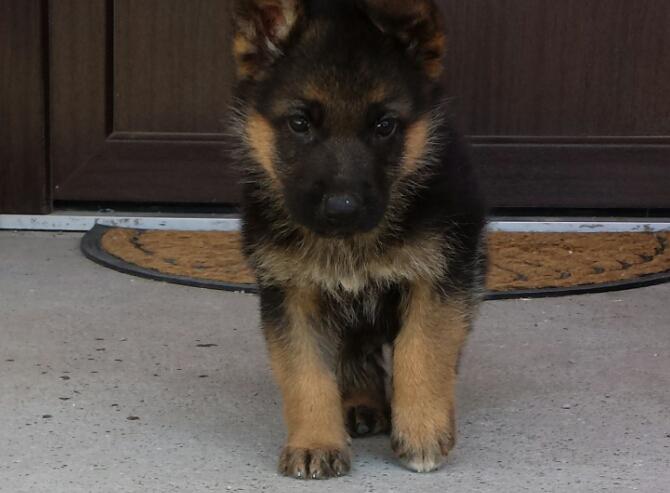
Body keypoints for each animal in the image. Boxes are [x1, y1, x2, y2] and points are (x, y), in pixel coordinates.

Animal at [230, 0, 488, 479]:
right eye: (299, 123)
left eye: (384, 125)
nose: (342, 209)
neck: (351, 244)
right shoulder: (289, 294)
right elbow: (305, 373)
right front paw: (315, 441)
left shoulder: (442, 276)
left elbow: (422, 347)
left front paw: (422, 428)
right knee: (351, 351)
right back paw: (360, 401)